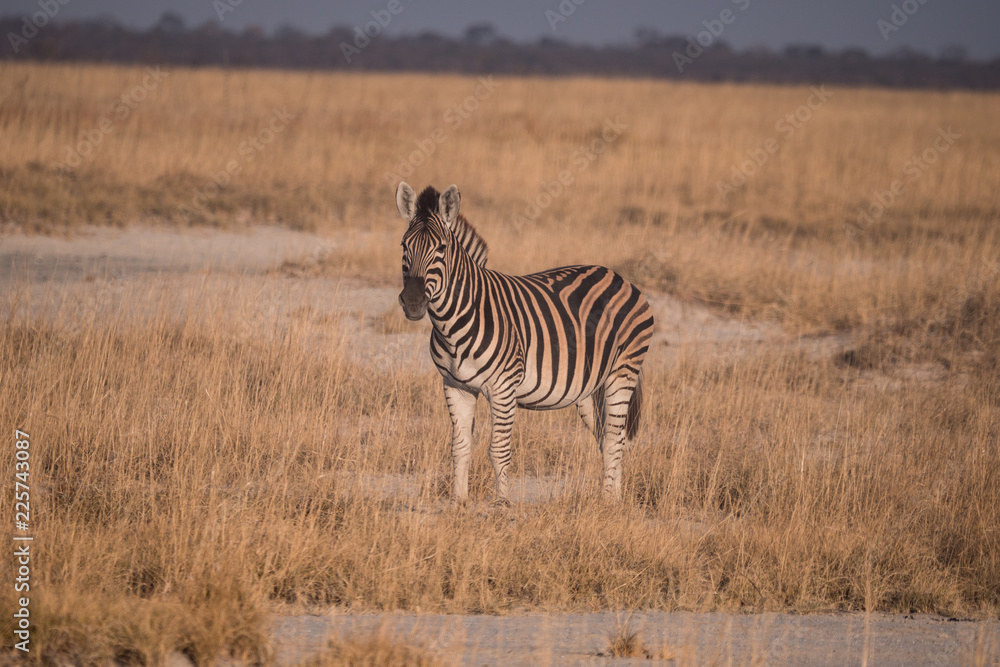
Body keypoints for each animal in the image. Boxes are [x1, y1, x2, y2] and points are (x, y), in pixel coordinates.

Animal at [396, 182, 653, 501]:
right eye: (404, 246)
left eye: (441, 249)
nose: (412, 302)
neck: (453, 323)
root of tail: (618, 277)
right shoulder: (456, 386)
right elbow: (460, 448)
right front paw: (458, 503)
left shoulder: (504, 388)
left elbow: (498, 451)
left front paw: (502, 505)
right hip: (591, 388)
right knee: (608, 440)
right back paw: (614, 501)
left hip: (623, 372)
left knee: (616, 441)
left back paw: (607, 503)